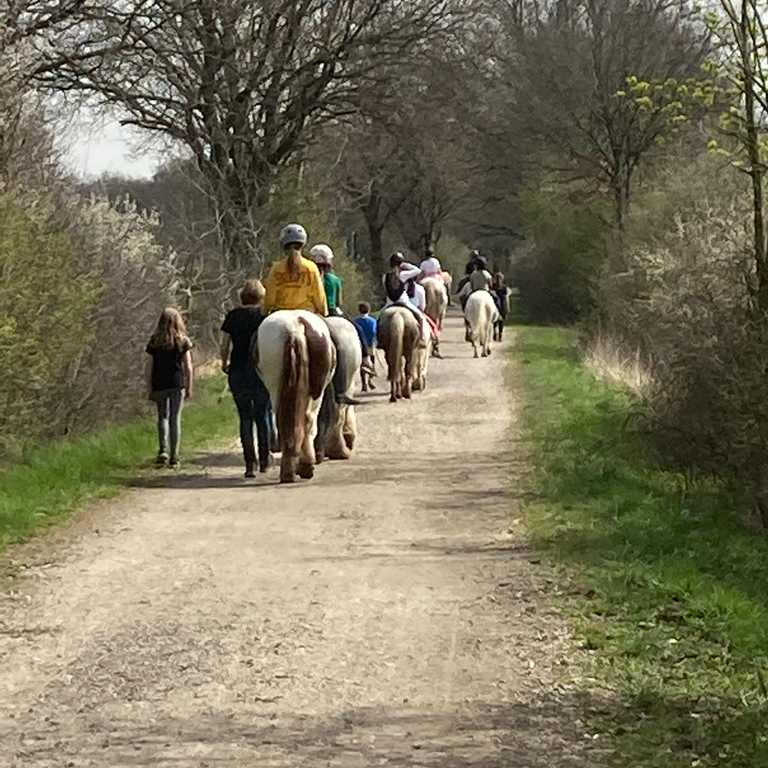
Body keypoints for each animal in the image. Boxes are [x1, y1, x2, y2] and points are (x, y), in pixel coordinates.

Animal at [255, 310, 335, 483]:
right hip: (316, 393)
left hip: (275, 388)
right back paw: (304, 465)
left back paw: (290, 470)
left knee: (286, 421)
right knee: (308, 420)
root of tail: (294, 329)